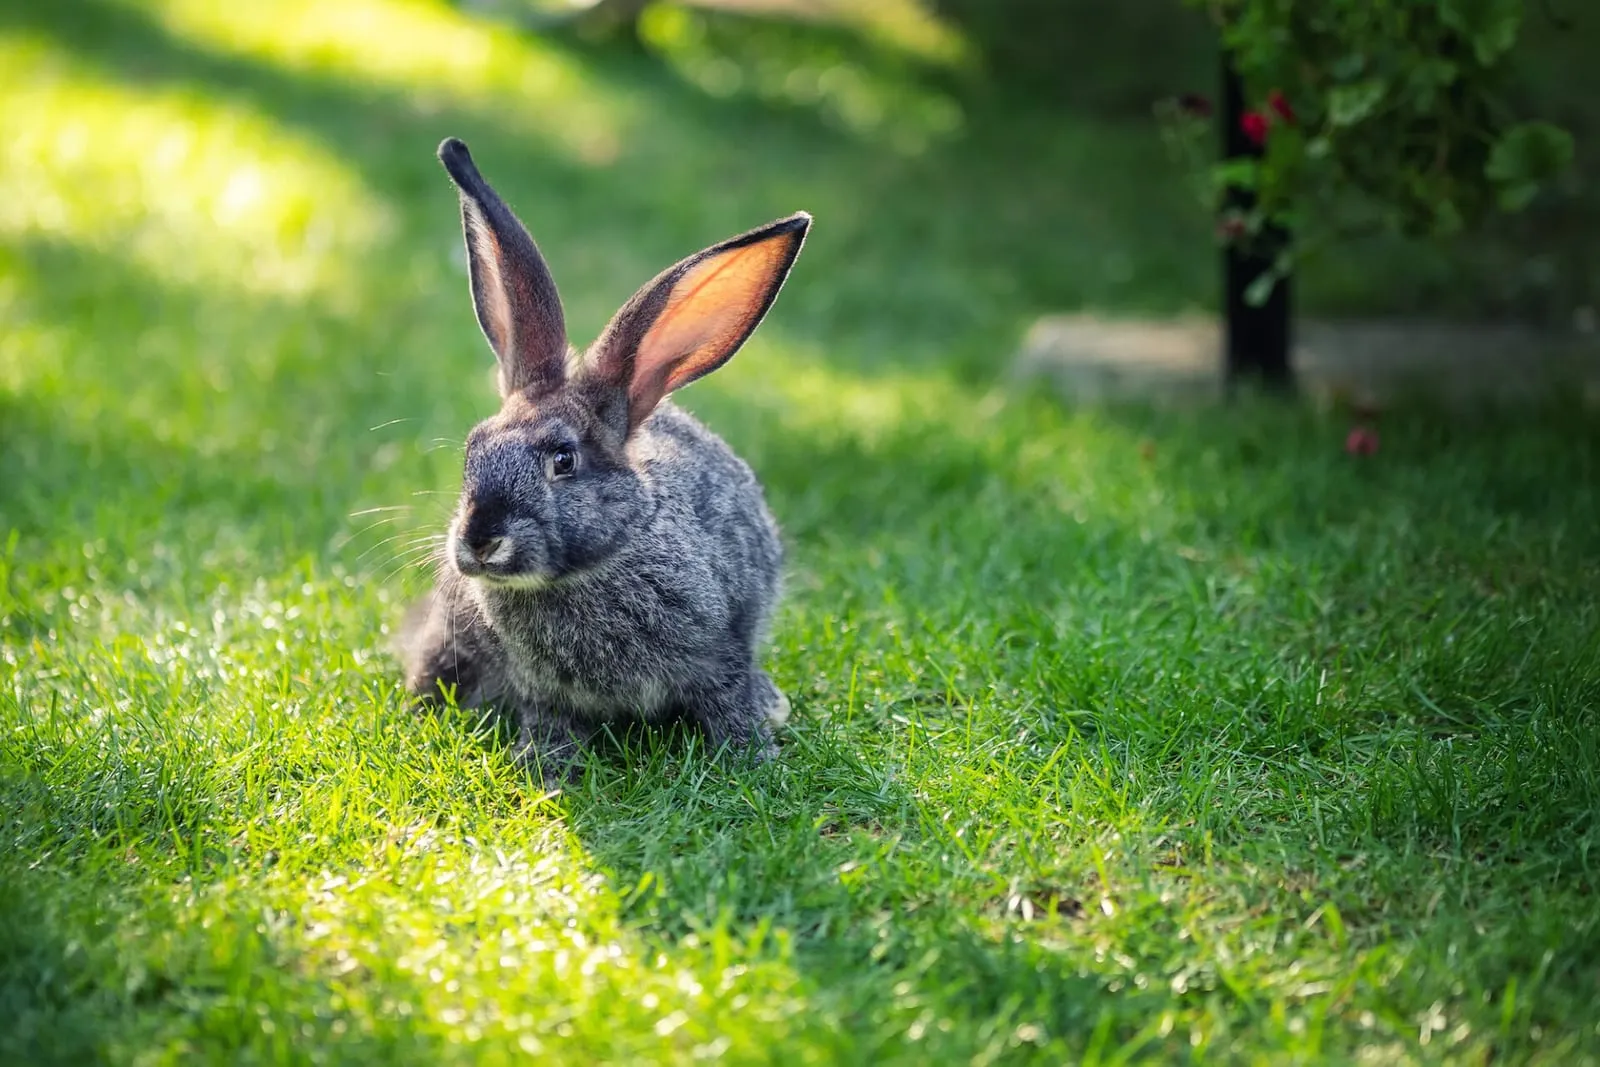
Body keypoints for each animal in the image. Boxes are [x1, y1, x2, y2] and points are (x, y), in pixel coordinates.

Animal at [400, 137, 808, 782]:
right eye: (473, 449)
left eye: (563, 460)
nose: (480, 540)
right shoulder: (541, 689)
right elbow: (549, 723)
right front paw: (549, 772)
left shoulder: (722, 651)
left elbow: (727, 702)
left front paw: (753, 758)